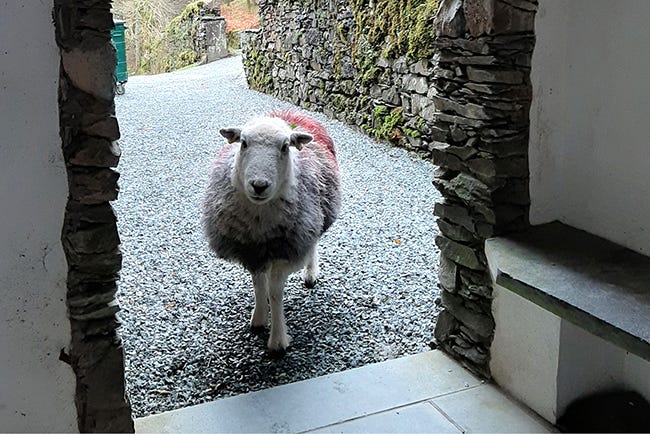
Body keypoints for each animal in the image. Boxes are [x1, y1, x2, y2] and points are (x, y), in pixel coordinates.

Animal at [202, 110, 342, 354]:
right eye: (243, 143)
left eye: (285, 147)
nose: (259, 185)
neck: (260, 221)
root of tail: (289, 112)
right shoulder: (252, 249)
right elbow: (259, 285)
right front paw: (259, 319)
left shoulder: (285, 251)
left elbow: (275, 292)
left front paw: (277, 341)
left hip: (314, 216)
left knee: (313, 243)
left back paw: (310, 274)